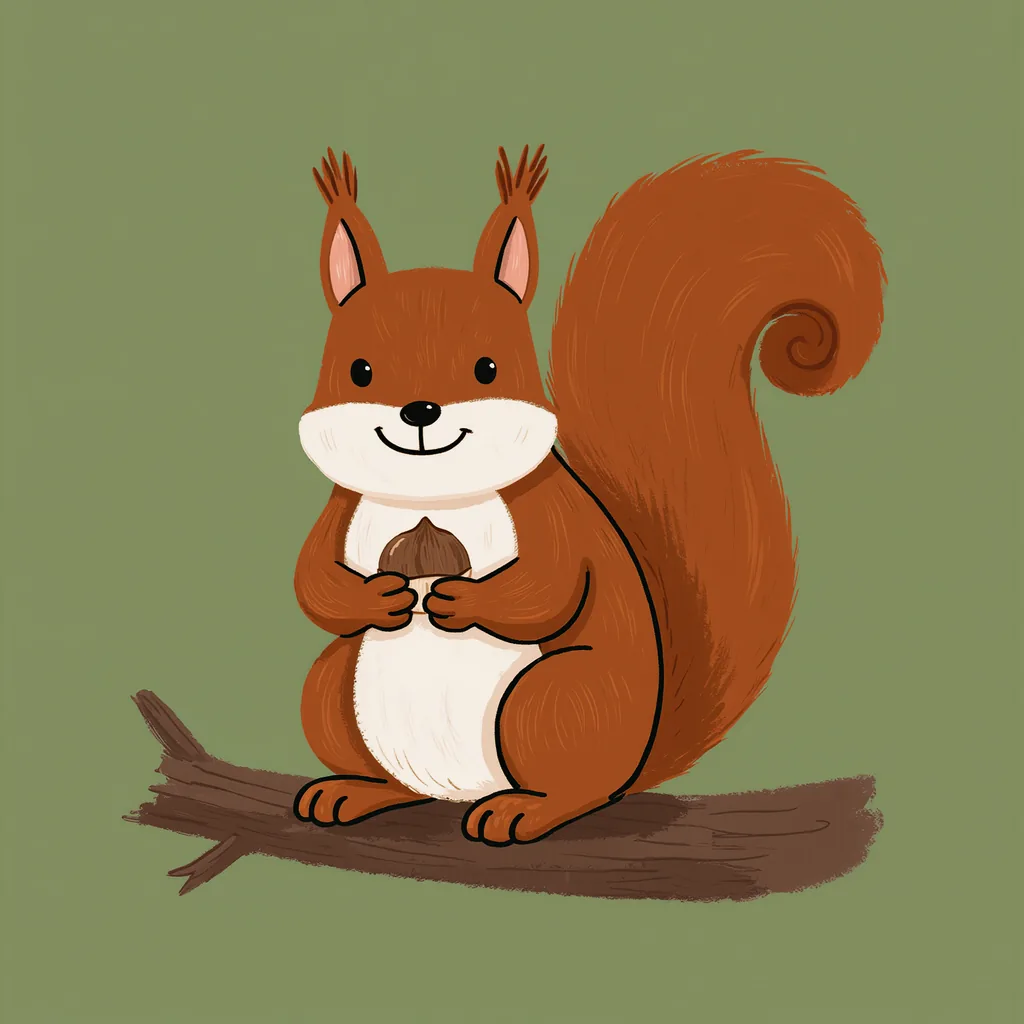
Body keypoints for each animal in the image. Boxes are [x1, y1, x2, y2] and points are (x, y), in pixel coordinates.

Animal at [292, 143, 886, 846]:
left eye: (488, 368)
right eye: (359, 370)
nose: (420, 411)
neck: (431, 497)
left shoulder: (550, 511)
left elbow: (549, 586)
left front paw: (459, 600)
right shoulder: (340, 507)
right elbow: (311, 581)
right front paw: (378, 598)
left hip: (554, 699)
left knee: (580, 789)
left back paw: (524, 810)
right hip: (334, 690)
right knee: (381, 756)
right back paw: (353, 792)